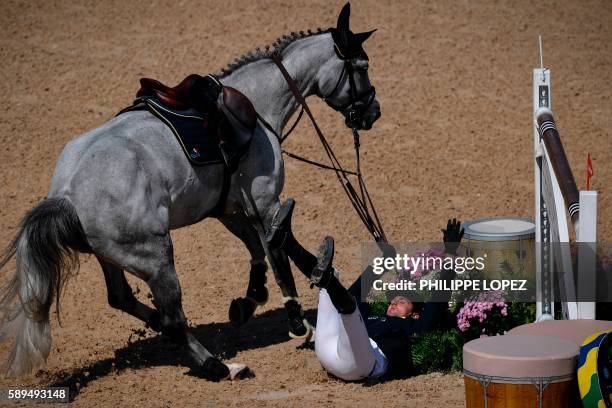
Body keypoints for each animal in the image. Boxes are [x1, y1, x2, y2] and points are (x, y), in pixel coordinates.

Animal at [0, 2, 380, 380]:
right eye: (362, 67)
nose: (373, 112)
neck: (255, 107)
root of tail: (66, 194)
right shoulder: (265, 204)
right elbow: (282, 256)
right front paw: (299, 321)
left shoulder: (230, 209)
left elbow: (258, 251)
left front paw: (249, 301)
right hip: (156, 258)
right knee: (173, 319)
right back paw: (220, 366)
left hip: (112, 257)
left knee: (122, 299)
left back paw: (166, 329)